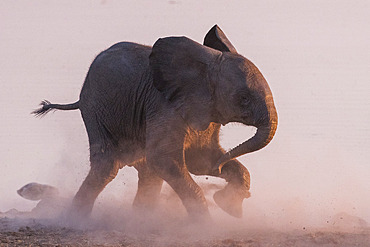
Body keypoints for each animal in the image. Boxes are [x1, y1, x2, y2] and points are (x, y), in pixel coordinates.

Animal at [34, 25, 278, 220]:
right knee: (108, 166)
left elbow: (199, 160)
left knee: (146, 171)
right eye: (243, 99)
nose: (220, 167)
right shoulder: (165, 107)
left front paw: (229, 208)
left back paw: (141, 219)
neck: (202, 69)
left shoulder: (205, 111)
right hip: (96, 110)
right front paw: (206, 225)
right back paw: (76, 220)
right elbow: (165, 159)